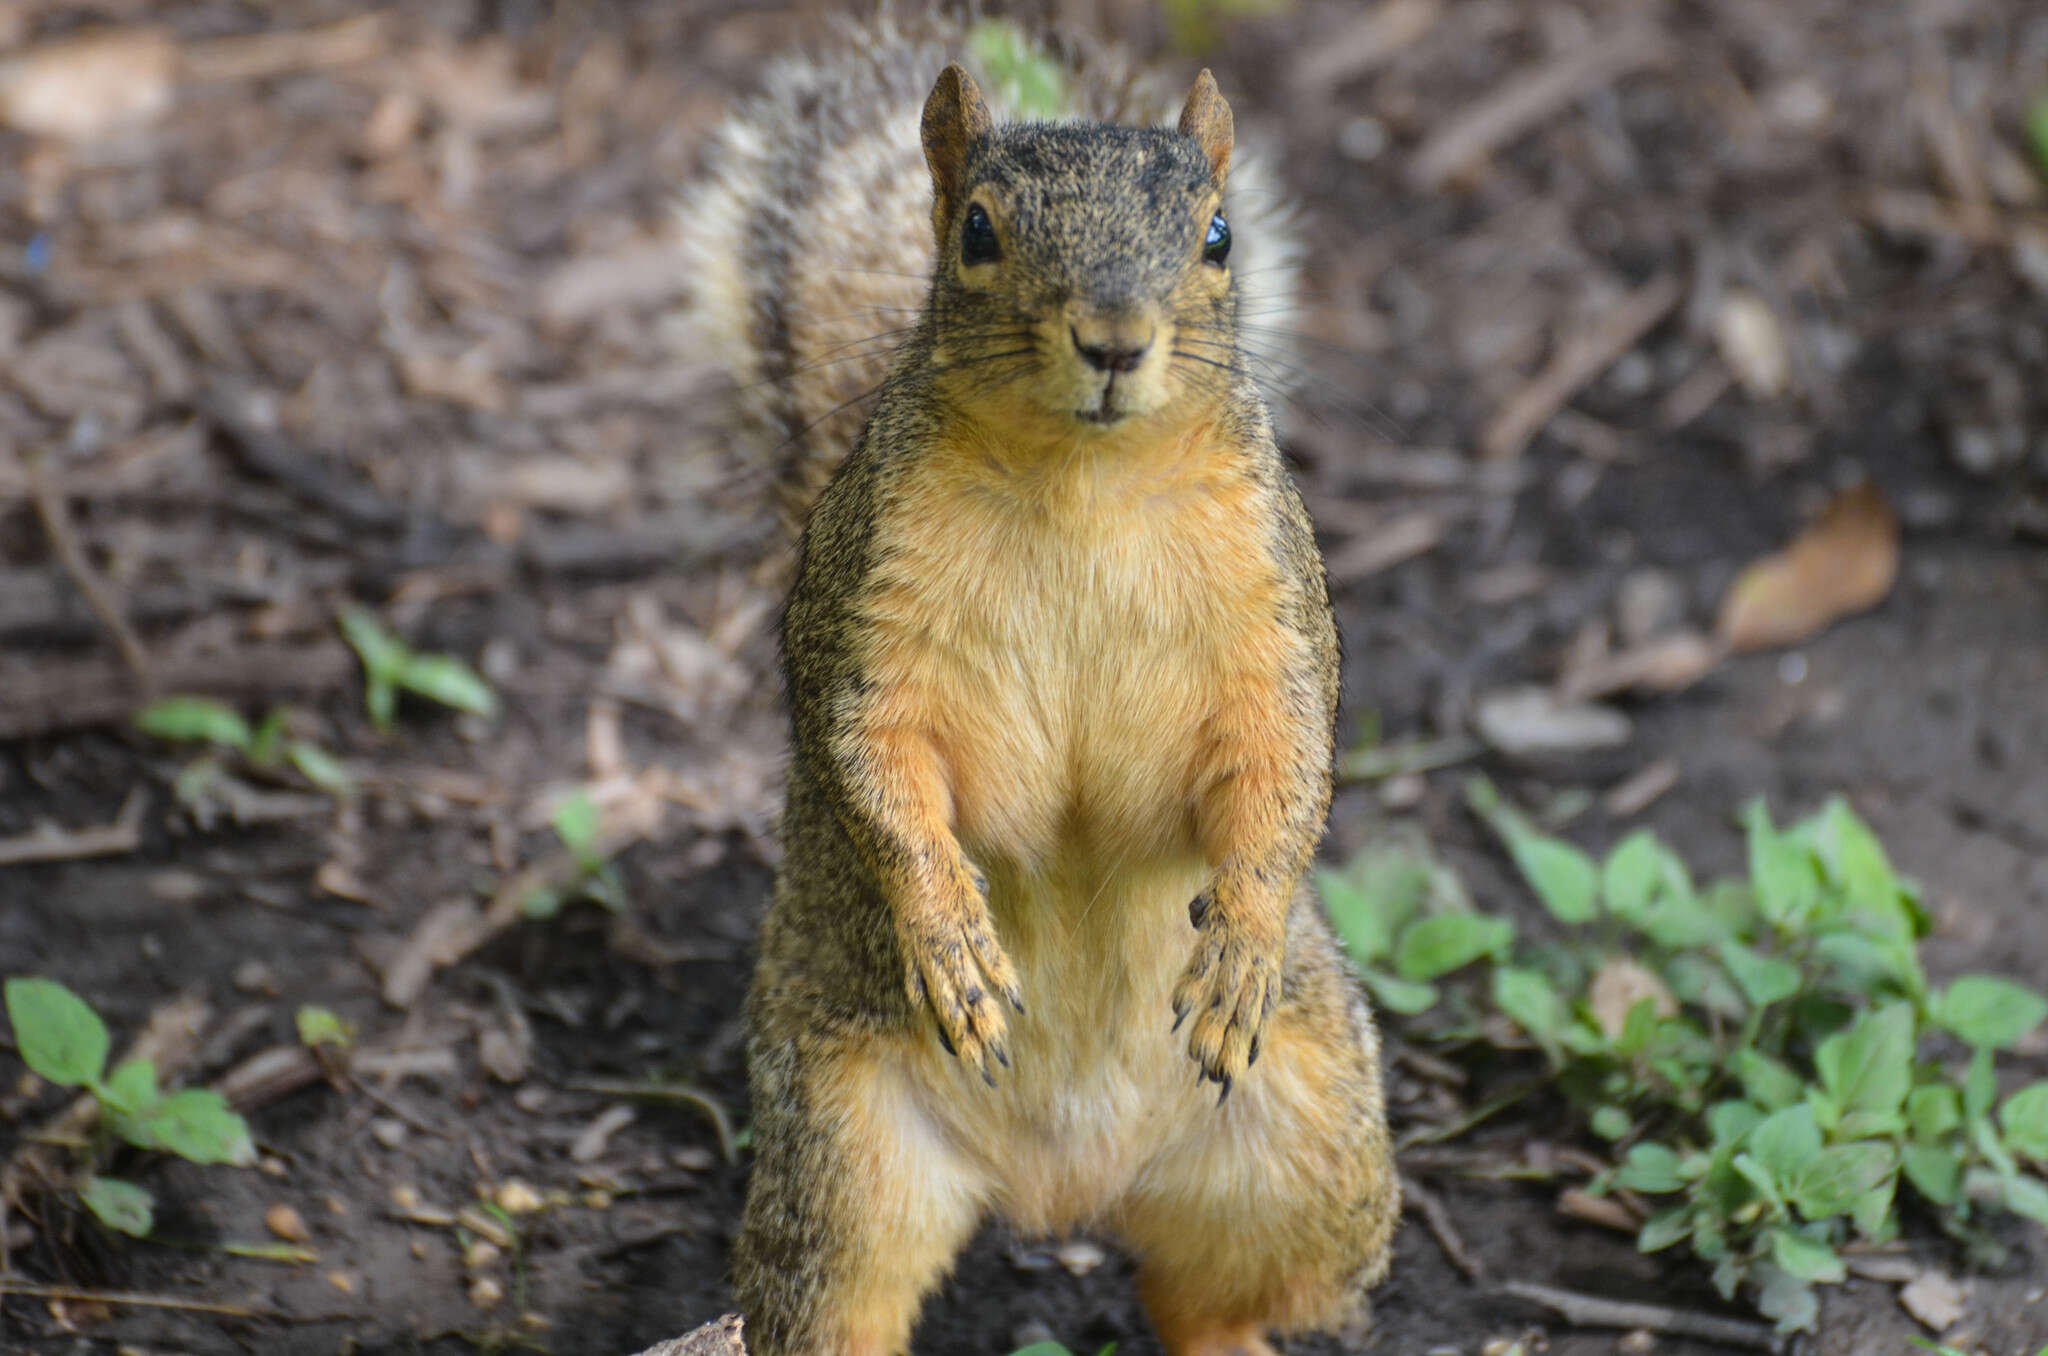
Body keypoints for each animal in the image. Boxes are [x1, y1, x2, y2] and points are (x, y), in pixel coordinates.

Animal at [696, 18, 1400, 1356]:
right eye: (976, 232)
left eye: (1217, 235)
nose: (1114, 342)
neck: (1085, 479)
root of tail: (1062, 1190)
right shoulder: (869, 619)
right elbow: (874, 768)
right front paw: (950, 936)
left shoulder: (1272, 616)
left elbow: (1285, 762)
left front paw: (1241, 938)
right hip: (841, 1158)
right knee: (835, 1301)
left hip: (1311, 1148)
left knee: (1207, 1298)